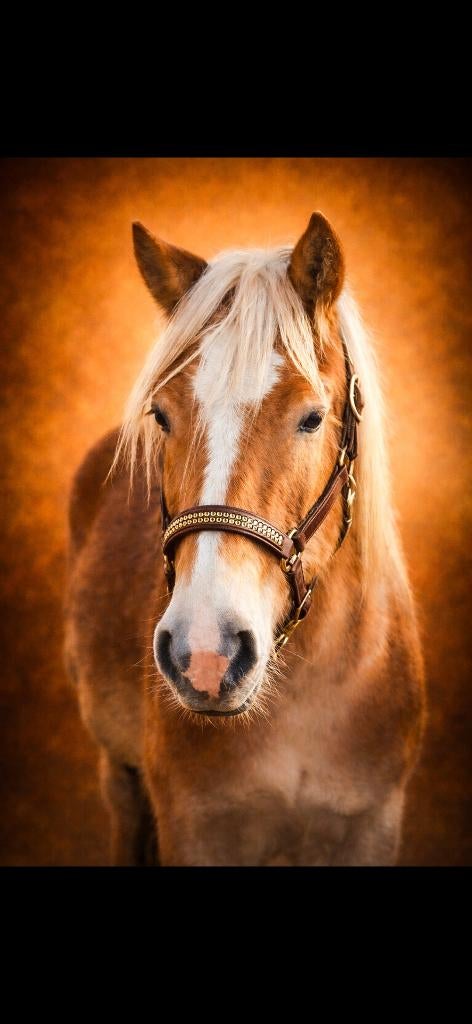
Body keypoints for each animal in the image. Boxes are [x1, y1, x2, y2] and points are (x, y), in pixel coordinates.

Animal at [64, 212, 426, 866]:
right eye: (161, 416)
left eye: (312, 417)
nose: (206, 655)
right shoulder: (195, 829)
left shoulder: (371, 826)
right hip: (119, 777)